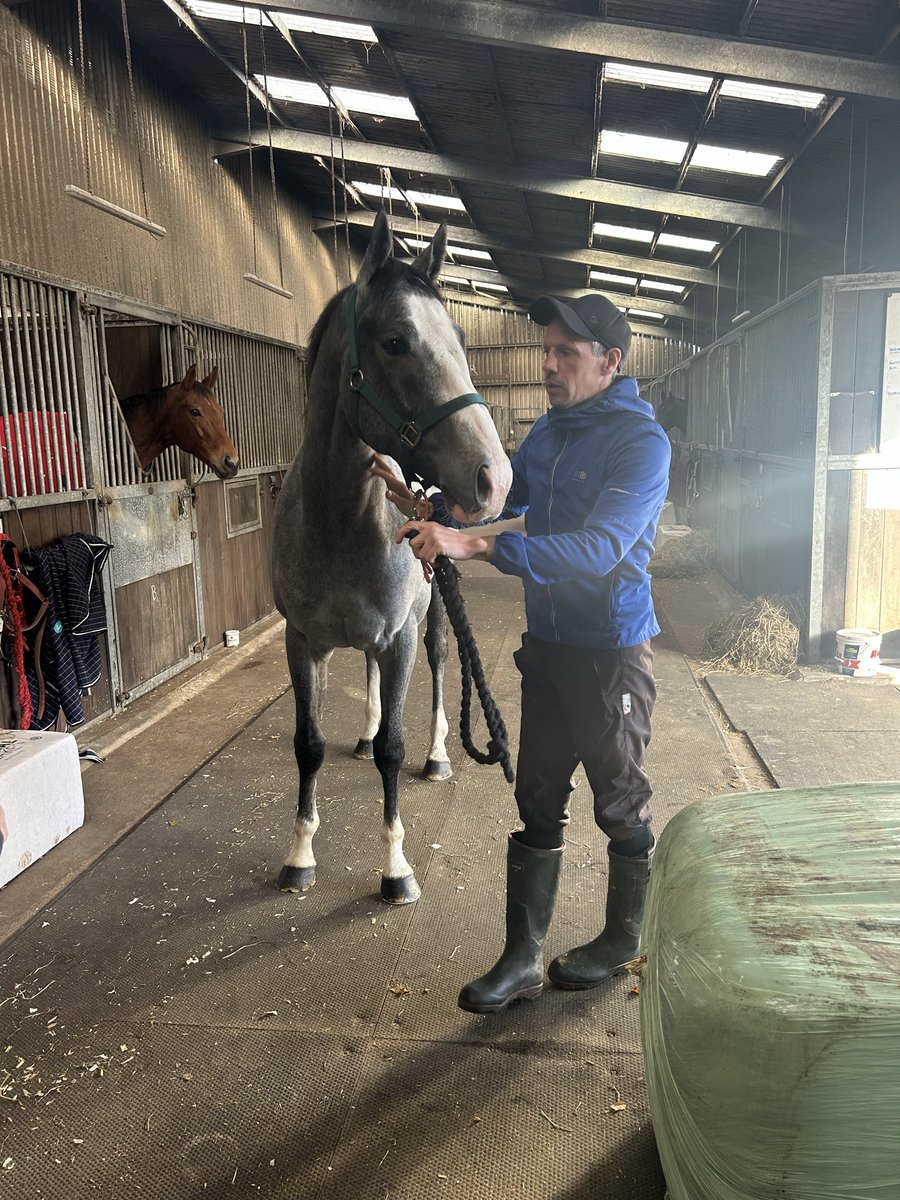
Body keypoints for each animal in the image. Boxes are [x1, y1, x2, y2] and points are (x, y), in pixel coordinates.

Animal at [272, 211, 511, 904]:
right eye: (397, 342)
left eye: (460, 339)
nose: (495, 478)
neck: (337, 522)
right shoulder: (302, 641)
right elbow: (308, 745)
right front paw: (300, 854)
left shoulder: (399, 636)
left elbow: (393, 751)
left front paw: (395, 866)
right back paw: (363, 732)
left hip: (428, 623)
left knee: (438, 670)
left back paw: (437, 756)